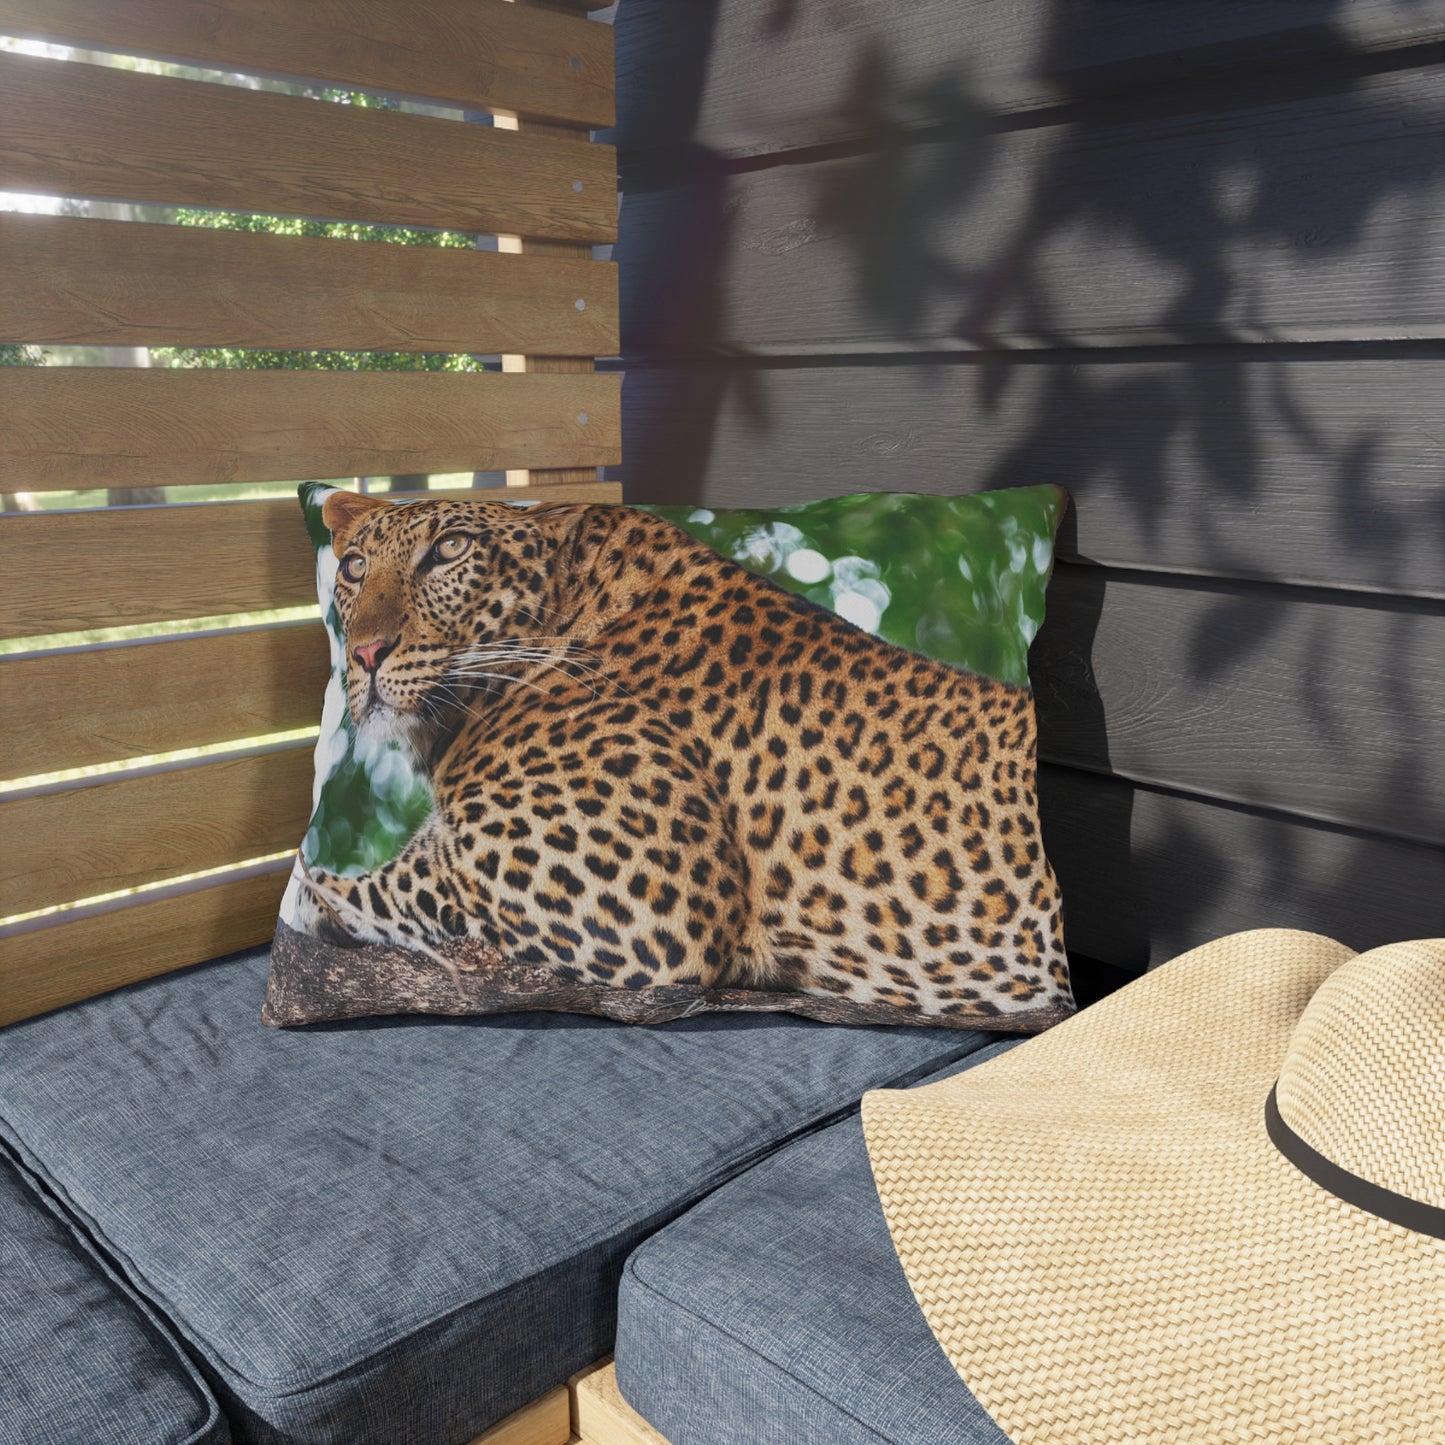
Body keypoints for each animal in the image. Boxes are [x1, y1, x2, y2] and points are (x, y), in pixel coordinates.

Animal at [291, 491, 1071, 1024]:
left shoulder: (643, 894)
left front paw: (317, 898)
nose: (365, 654)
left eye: (449, 551)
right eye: (353, 567)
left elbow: (383, 882)